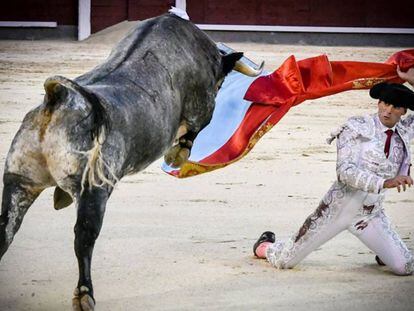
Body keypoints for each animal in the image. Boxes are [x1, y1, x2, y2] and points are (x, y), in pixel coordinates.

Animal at [0, 11, 262, 310]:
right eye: (219, 83)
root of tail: (58, 99)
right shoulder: (202, 106)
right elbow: (194, 131)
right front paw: (177, 155)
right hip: (93, 190)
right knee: (84, 236)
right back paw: (84, 294)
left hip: (19, 181)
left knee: (5, 229)